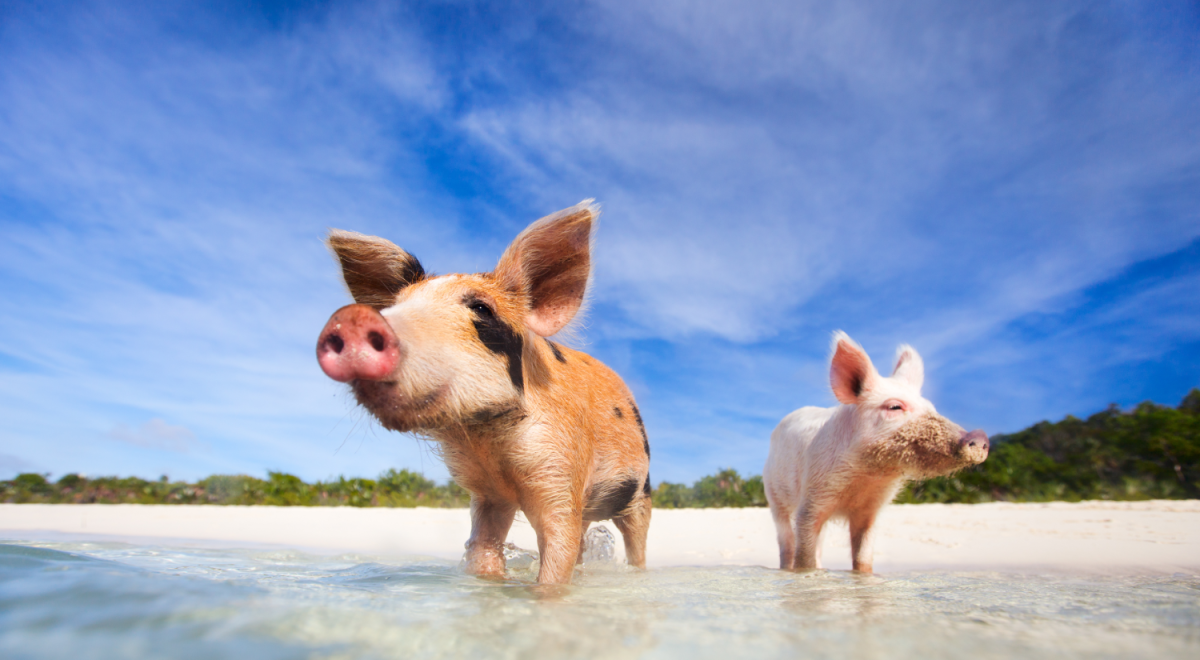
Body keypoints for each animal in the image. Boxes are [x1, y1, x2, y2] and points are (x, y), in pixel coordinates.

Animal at [315, 201, 651, 585]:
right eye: (392, 306)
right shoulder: (488, 494)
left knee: (635, 542)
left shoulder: (561, 469)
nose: (352, 319)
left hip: (641, 493)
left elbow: (557, 556)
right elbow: (483, 549)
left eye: (481, 309)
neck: (490, 442)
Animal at [763, 332, 989, 573]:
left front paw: (862, 575)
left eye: (932, 408)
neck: (867, 476)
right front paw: (805, 573)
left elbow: (864, 557)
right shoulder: (812, 498)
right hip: (773, 494)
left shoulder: (871, 509)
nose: (980, 436)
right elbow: (804, 557)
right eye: (894, 407)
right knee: (786, 541)